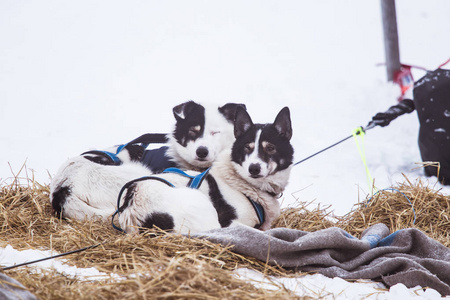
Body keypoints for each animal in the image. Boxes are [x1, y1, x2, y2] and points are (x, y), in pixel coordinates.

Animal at [116, 106, 294, 234]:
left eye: (270, 148)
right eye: (246, 148)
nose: (254, 169)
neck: (244, 184)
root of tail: (133, 207)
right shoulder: (231, 224)